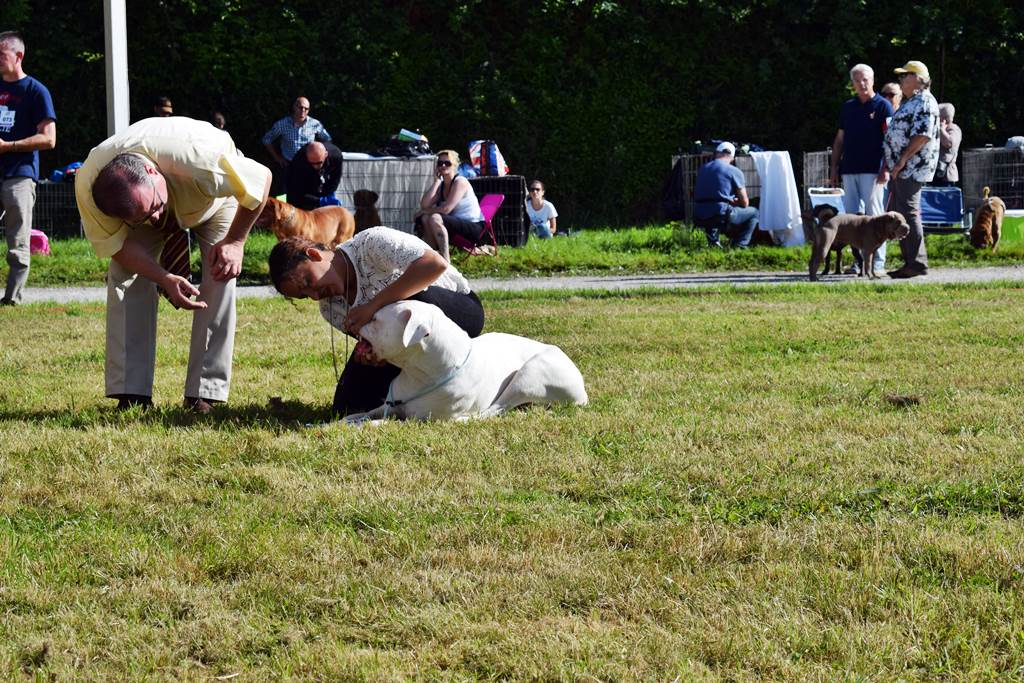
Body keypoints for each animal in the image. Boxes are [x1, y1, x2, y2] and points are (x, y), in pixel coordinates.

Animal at [344, 301, 589, 421]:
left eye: (375, 319)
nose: (353, 318)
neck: (420, 374)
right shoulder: (387, 406)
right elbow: (359, 415)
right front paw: (342, 423)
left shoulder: (418, 421)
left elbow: (380, 423)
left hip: (530, 374)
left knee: (494, 410)